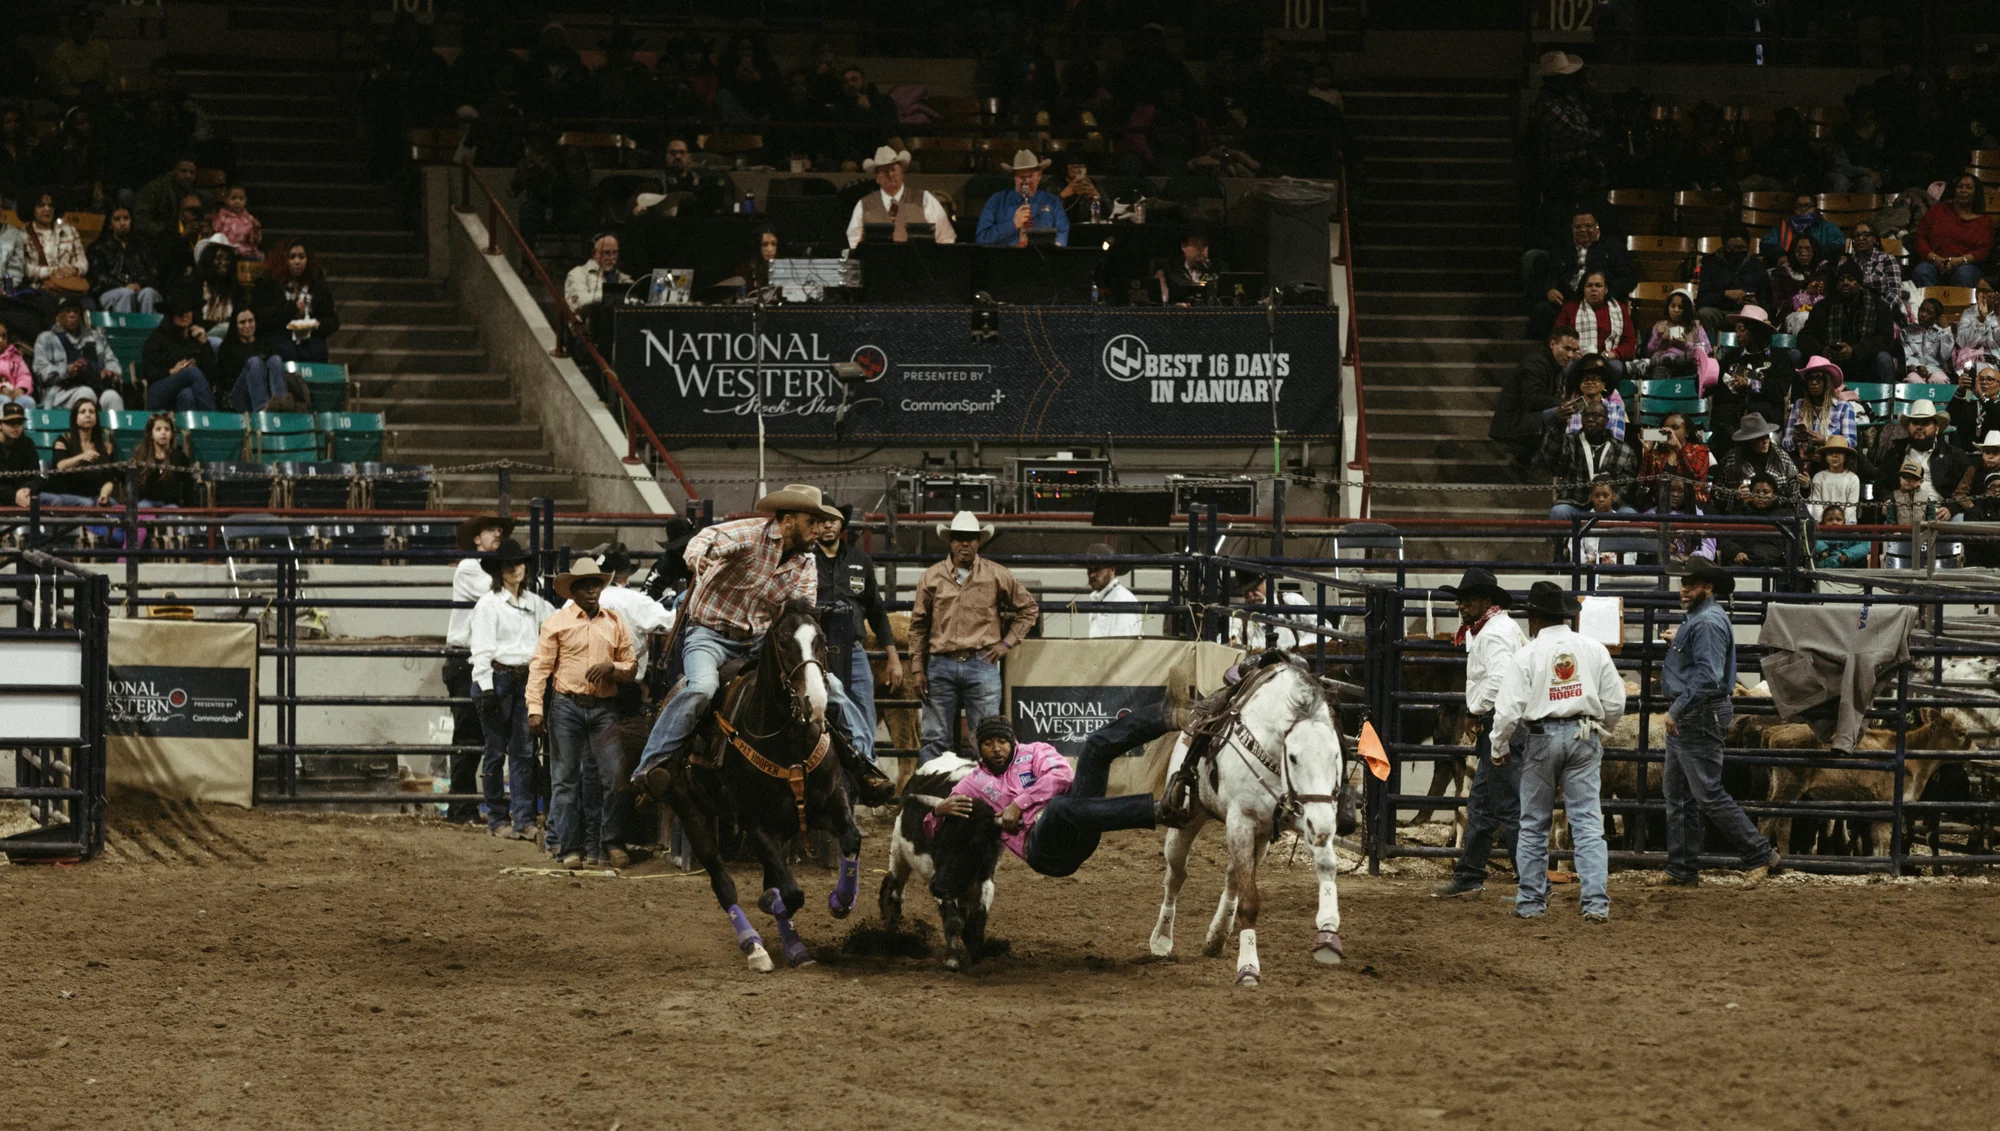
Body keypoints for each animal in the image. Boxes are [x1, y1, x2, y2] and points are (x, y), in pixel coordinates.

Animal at [876, 759, 1000, 971]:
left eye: (977, 844)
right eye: (940, 836)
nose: (938, 887)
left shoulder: (984, 879)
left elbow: (977, 919)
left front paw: (976, 957)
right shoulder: (937, 877)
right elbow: (953, 920)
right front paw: (952, 959)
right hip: (899, 852)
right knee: (892, 890)